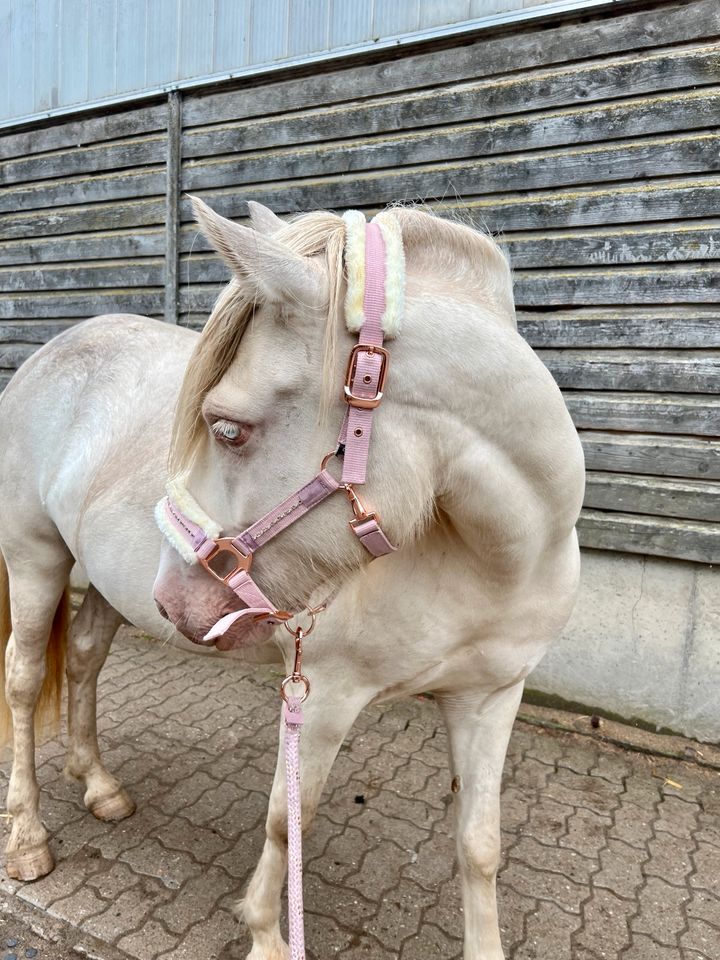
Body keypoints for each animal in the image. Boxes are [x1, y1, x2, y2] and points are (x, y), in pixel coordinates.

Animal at [0, 199, 584, 956]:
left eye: (227, 429)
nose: (174, 600)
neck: (499, 560)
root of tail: (48, 353)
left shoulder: (491, 696)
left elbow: (479, 845)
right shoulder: (325, 694)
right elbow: (289, 818)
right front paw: (266, 934)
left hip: (102, 581)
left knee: (84, 658)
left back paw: (98, 784)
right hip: (34, 555)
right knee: (21, 681)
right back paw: (28, 838)